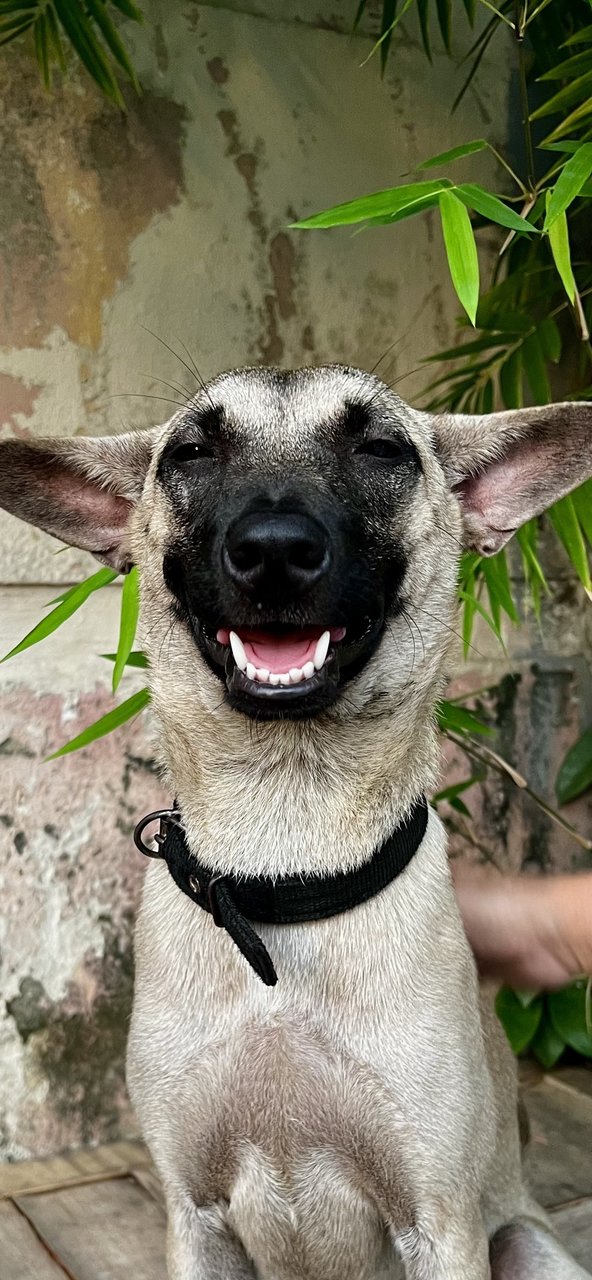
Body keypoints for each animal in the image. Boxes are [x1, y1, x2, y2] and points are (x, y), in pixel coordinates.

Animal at [1, 363, 592, 1280]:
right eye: (190, 453)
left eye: (383, 449)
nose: (274, 549)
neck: (284, 876)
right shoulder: (195, 1219)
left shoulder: (441, 1224)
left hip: (525, 1244)